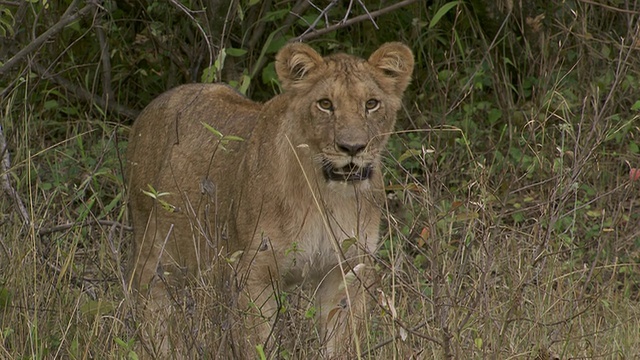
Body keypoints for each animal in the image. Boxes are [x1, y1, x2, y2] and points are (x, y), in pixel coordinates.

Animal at [125, 41, 416, 358]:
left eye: (371, 104)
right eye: (325, 104)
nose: (352, 148)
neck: (326, 195)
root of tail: (150, 108)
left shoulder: (346, 271)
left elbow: (341, 343)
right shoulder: (253, 274)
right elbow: (258, 345)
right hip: (153, 255)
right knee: (151, 312)